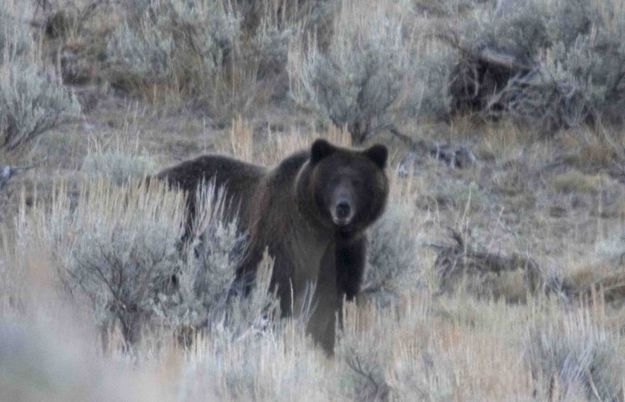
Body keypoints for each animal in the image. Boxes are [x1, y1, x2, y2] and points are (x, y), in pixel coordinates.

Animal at [155, 138, 386, 352]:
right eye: (332, 180)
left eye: (357, 181)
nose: (342, 207)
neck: (326, 232)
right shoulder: (286, 243)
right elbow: (278, 293)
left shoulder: (346, 252)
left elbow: (338, 300)